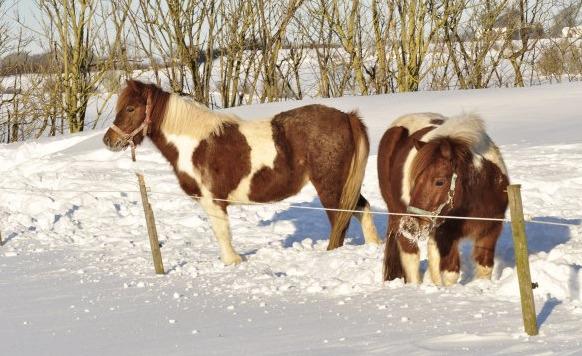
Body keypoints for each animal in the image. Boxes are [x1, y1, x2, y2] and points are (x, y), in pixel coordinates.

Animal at [102, 80, 380, 264]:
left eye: (130, 108)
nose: (108, 140)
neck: (195, 144)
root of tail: (347, 117)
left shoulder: (212, 200)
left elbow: (221, 232)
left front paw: (232, 261)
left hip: (330, 186)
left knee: (341, 222)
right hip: (344, 185)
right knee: (361, 209)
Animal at [378, 114, 512, 286]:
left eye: (439, 181)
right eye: (415, 179)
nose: (410, 225)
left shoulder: (491, 229)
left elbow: (485, 268)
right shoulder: (446, 234)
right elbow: (450, 273)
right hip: (398, 213)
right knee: (410, 256)